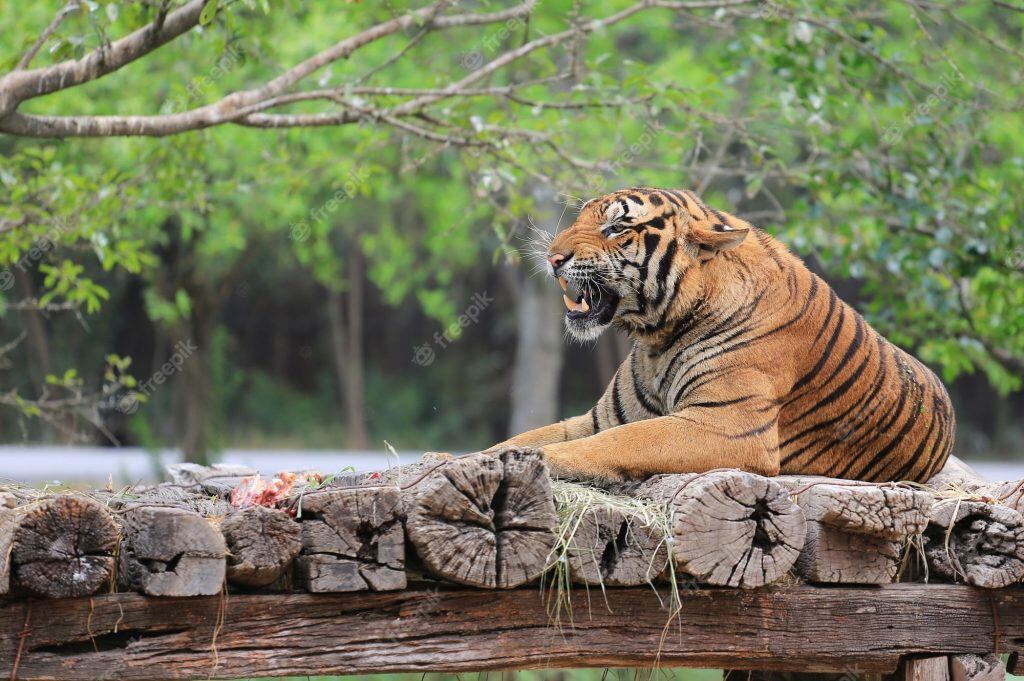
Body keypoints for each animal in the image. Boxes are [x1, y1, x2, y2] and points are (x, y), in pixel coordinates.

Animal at [491, 187, 955, 483]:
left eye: (617, 227)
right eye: (579, 218)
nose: (552, 258)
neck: (658, 336)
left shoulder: (728, 426)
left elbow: (619, 443)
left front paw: (540, 459)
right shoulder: (599, 418)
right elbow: (528, 436)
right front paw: (485, 457)